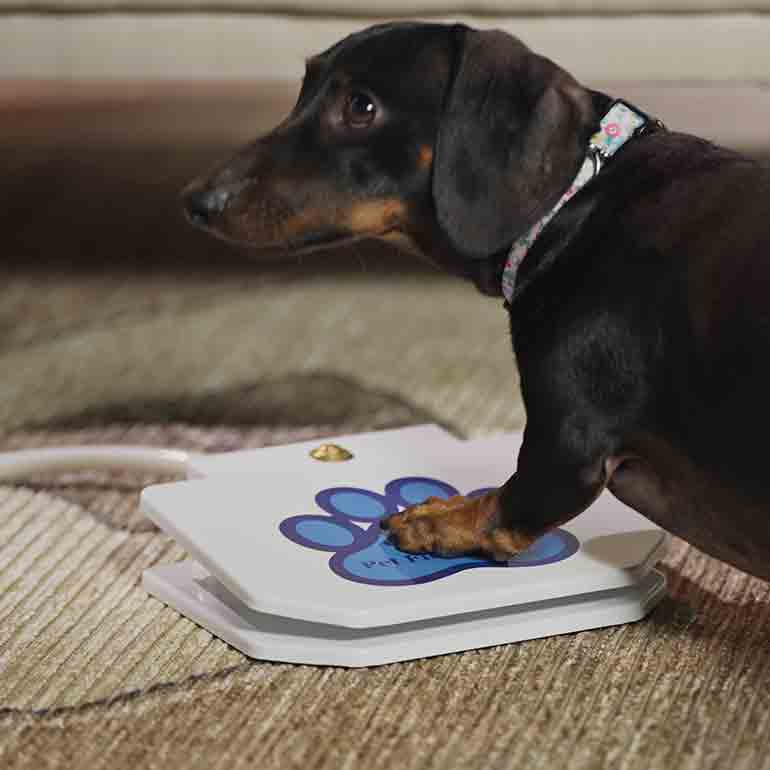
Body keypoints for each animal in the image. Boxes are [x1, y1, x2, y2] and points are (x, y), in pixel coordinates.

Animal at [183, 21, 768, 580]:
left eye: (360, 107)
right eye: (304, 89)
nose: (195, 201)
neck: (574, 199)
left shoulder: (570, 434)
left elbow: (508, 503)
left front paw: (438, 520)